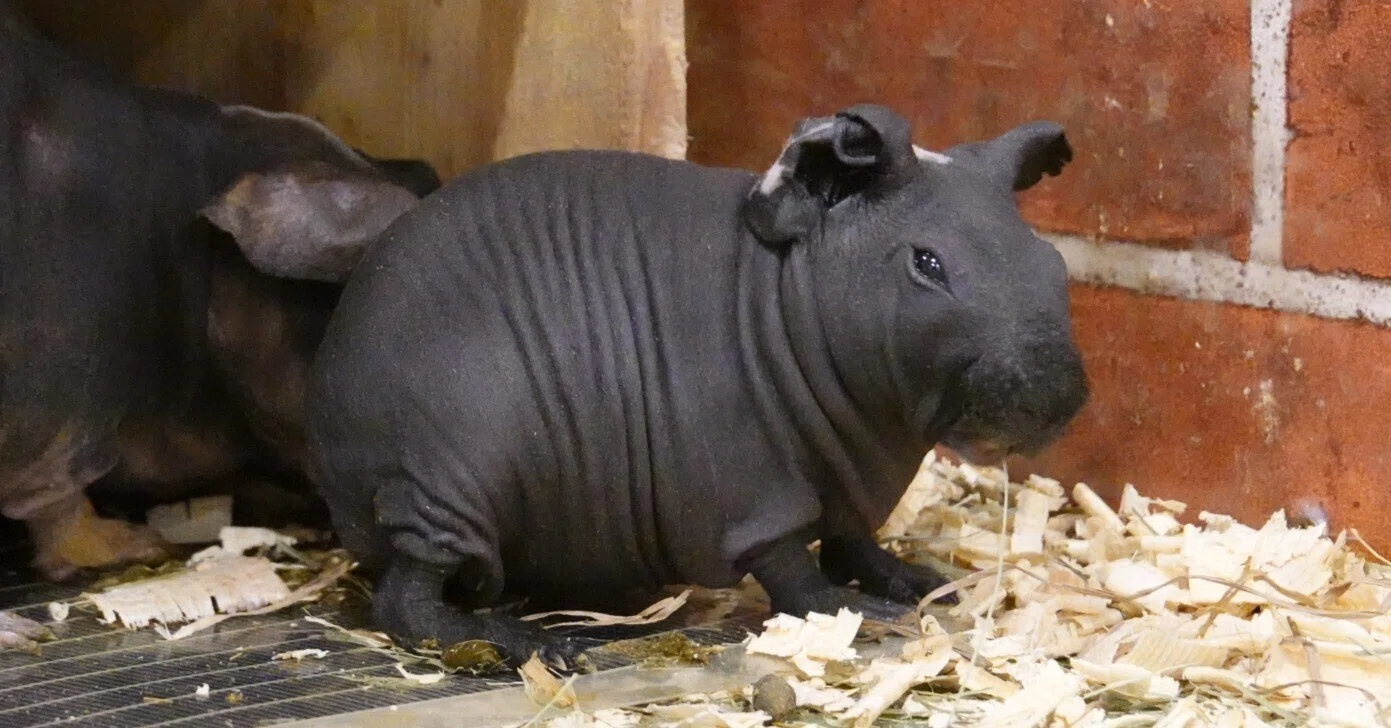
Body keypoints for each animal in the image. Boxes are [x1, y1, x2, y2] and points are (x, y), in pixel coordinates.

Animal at [305, 104, 1089, 668]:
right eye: (926, 263)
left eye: (1050, 260)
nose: (1054, 398)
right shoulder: (756, 499)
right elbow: (797, 576)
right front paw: (863, 612)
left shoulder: (844, 491)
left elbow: (857, 543)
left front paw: (918, 580)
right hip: (448, 488)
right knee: (407, 602)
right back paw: (528, 643)